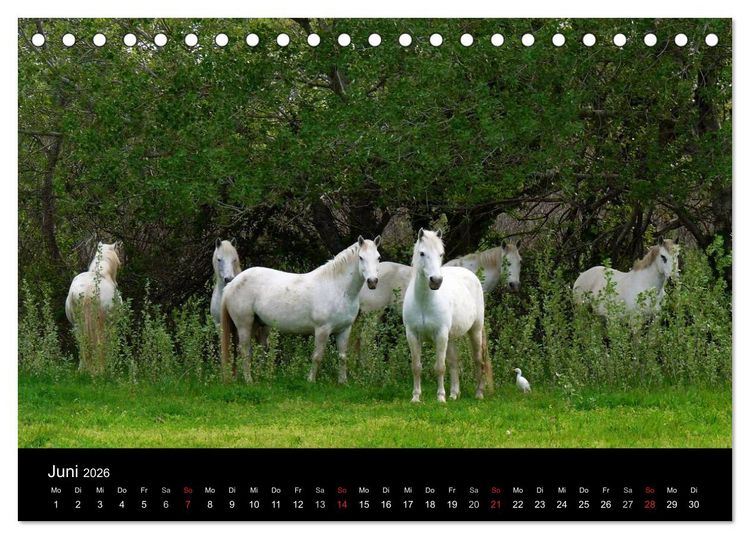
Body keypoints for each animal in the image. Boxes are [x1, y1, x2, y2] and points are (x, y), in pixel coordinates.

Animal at [64, 241, 123, 375]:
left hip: (77, 325)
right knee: (101, 343)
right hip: (103, 324)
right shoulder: (112, 325)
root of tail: (88, 290)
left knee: (82, 342)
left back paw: (83, 369)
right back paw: (103, 369)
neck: (103, 273)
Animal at [221, 236, 381, 384]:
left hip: (256, 324)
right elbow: (317, 356)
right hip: (244, 324)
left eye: (378, 258)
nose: (373, 282)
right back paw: (249, 380)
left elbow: (342, 357)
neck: (337, 288)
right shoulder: (322, 330)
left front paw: (343, 382)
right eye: (361, 257)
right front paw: (311, 381)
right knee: (244, 351)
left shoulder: (344, 330)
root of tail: (231, 284)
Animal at [402, 229, 491, 403]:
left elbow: (440, 367)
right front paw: (416, 397)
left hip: (475, 331)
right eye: (422, 253)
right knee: (454, 362)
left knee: (478, 360)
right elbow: (416, 367)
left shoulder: (441, 334)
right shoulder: (412, 335)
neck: (424, 301)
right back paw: (454, 394)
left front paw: (440, 398)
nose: (436, 281)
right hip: (451, 338)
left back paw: (479, 393)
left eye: (441, 254)